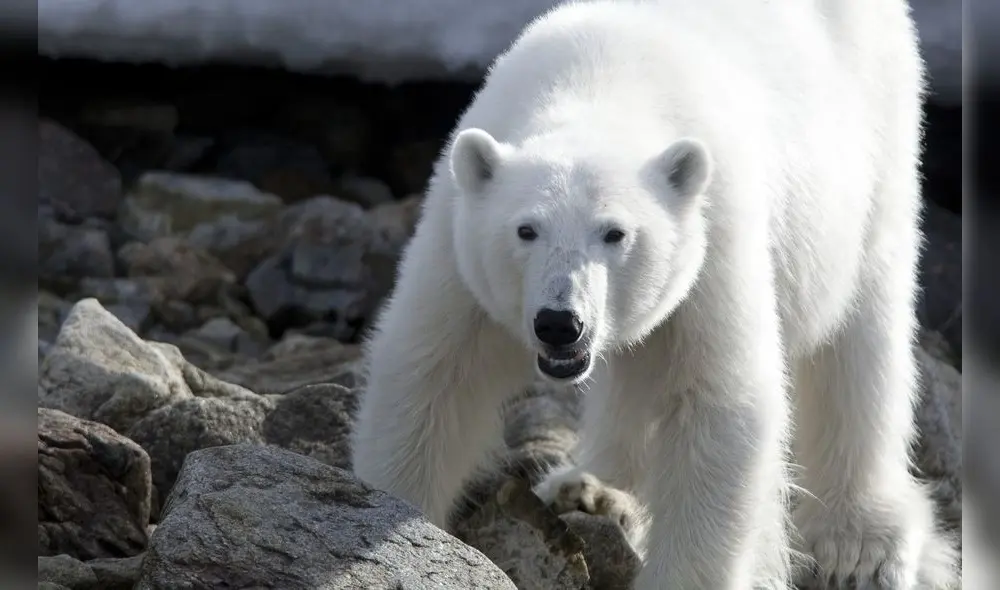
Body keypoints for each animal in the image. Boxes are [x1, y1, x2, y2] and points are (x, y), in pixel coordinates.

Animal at [351, 0, 960, 588]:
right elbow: (433, 375)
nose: (560, 323)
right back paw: (590, 486)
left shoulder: (712, 238)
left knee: (861, 329)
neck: (600, 83)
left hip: (875, 133)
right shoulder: (458, 241)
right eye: (525, 230)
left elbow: (717, 404)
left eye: (615, 233)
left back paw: (859, 541)